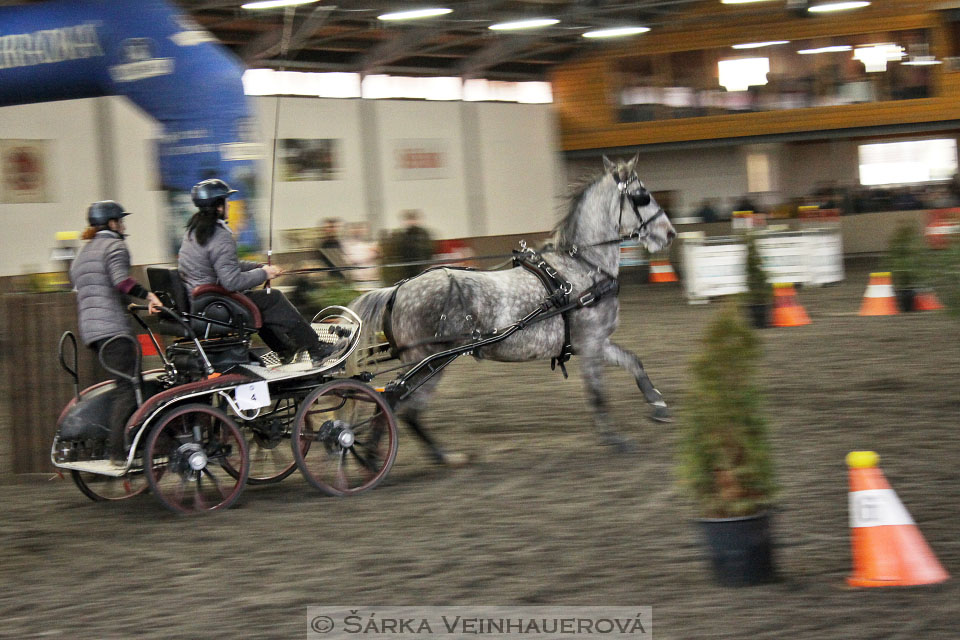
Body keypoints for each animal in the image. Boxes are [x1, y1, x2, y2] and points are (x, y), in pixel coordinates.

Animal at [350, 156, 676, 464]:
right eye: (642, 196)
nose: (670, 233)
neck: (582, 268)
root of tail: (397, 290)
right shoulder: (592, 342)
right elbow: (597, 394)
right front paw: (615, 439)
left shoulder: (594, 342)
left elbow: (633, 362)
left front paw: (658, 405)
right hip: (427, 361)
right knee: (401, 406)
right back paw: (422, 457)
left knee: (393, 404)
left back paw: (385, 456)